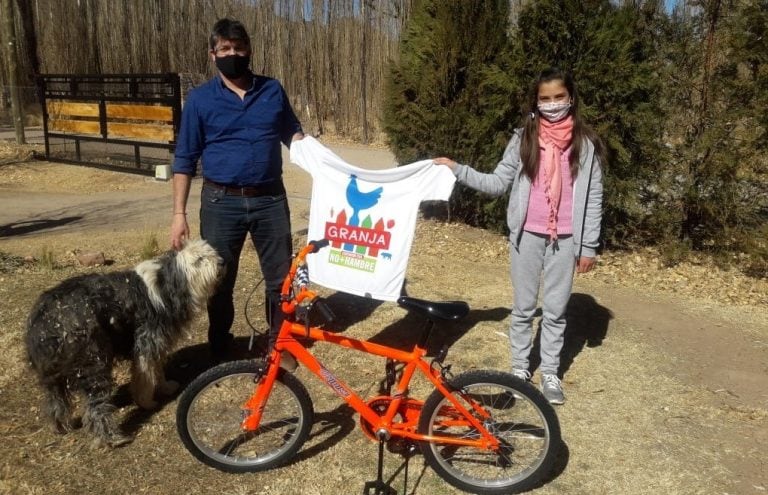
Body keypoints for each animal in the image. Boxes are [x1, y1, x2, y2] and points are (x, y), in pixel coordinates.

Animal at [24, 241, 222, 450]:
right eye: (199, 260)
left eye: (211, 253)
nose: (223, 263)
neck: (167, 286)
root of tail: (43, 321)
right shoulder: (146, 343)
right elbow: (145, 377)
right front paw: (146, 402)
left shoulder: (157, 344)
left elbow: (157, 370)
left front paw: (165, 387)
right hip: (93, 361)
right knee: (96, 407)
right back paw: (112, 438)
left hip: (51, 374)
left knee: (55, 400)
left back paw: (59, 425)